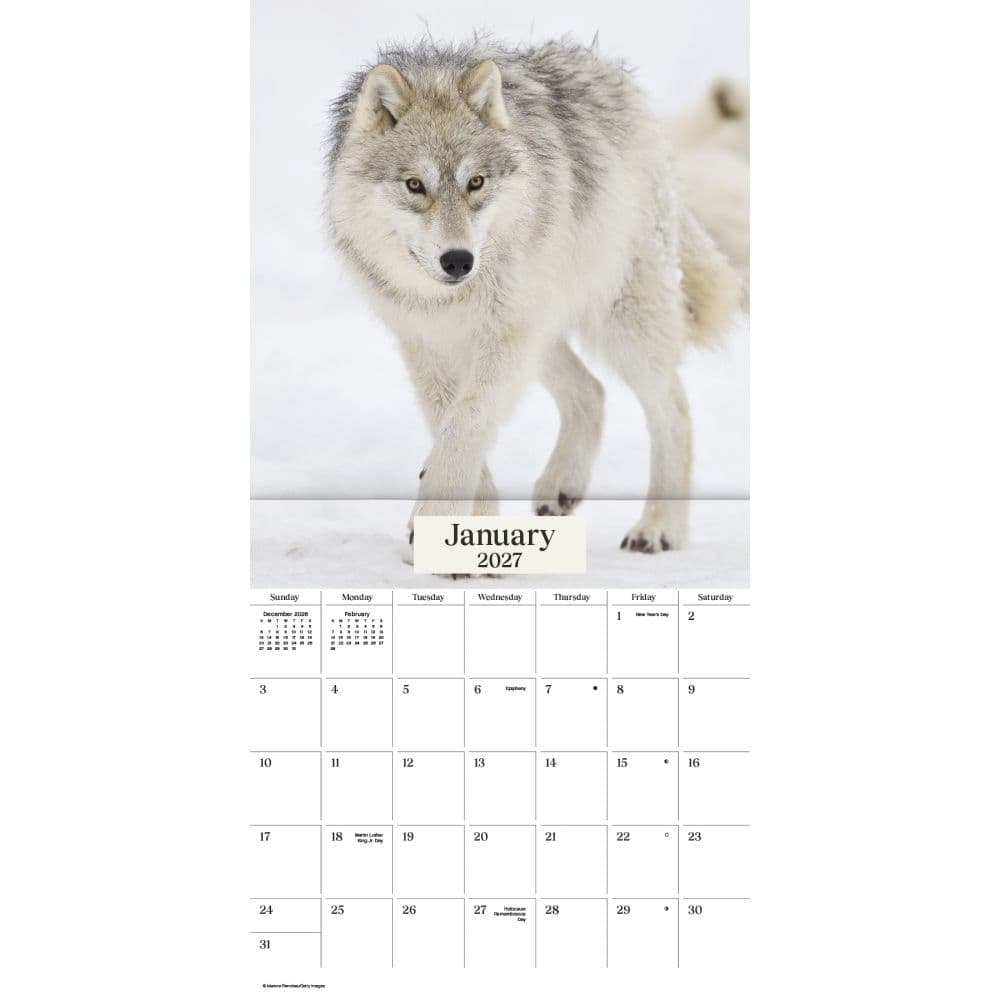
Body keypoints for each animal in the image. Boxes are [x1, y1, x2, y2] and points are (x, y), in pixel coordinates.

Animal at [325, 39, 748, 553]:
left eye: (476, 183)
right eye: (415, 185)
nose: (458, 261)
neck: (449, 300)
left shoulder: (503, 338)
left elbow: (465, 425)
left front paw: (440, 518)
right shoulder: (426, 344)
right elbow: (451, 426)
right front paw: (467, 529)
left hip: (616, 326)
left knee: (673, 410)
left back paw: (659, 527)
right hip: (542, 333)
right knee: (592, 390)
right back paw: (563, 484)